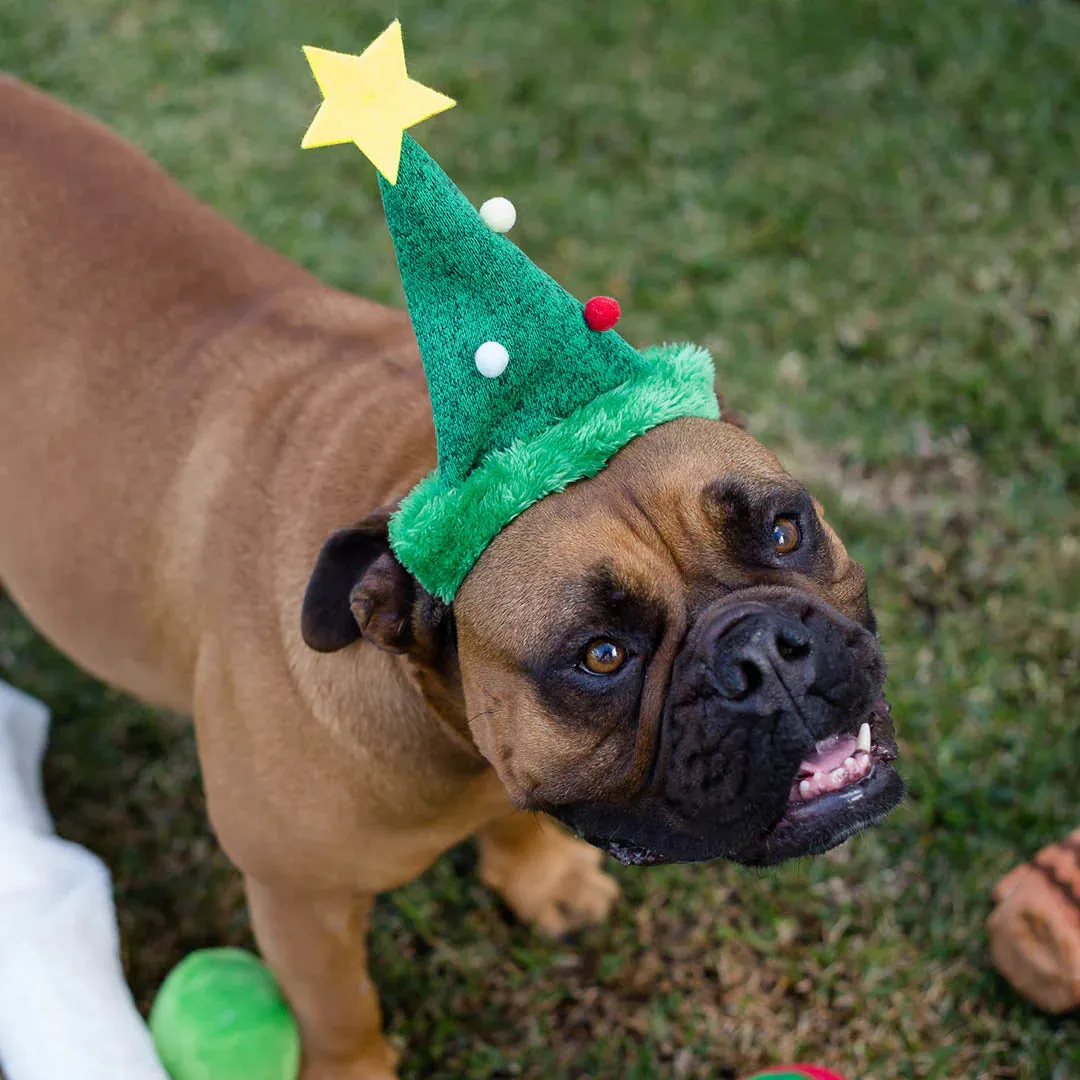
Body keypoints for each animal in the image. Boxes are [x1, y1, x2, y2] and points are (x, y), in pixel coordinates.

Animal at [0, 78, 902, 1080]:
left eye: (785, 530)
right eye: (601, 655)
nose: (766, 654)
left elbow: (518, 817)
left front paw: (538, 877)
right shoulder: (300, 900)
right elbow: (340, 1007)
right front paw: (353, 1068)